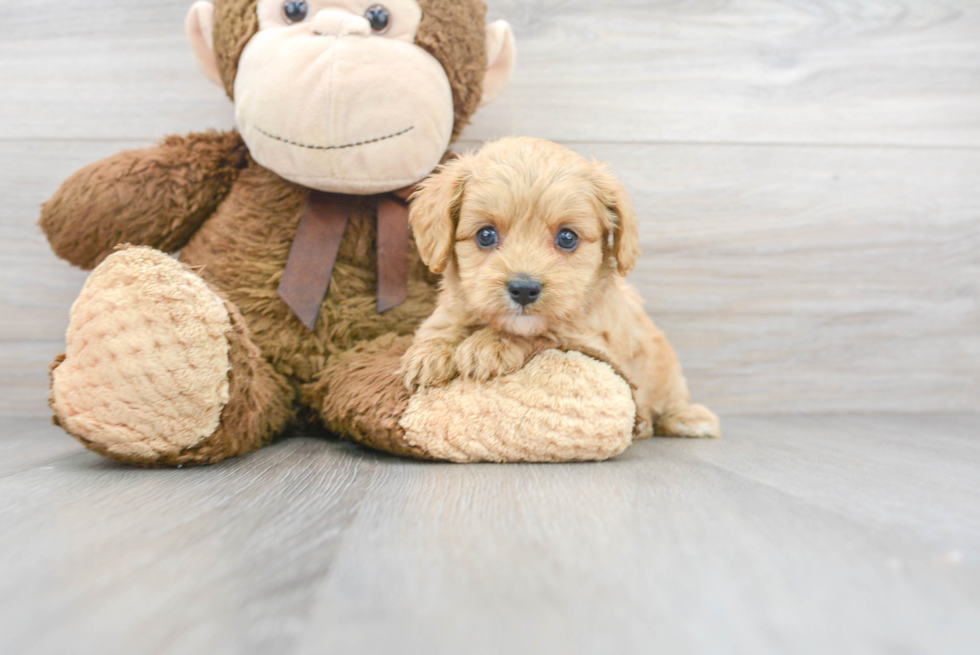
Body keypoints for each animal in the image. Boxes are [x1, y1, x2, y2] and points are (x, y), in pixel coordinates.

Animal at [398, 136, 720, 438]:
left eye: (567, 238)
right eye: (485, 235)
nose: (524, 289)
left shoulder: (591, 341)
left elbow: (546, 335)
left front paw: (490, 344)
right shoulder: (446, 312)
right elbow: (439, 329)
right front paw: (429, 354)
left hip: (669, 376)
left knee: (671, 402)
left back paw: (687, 419)